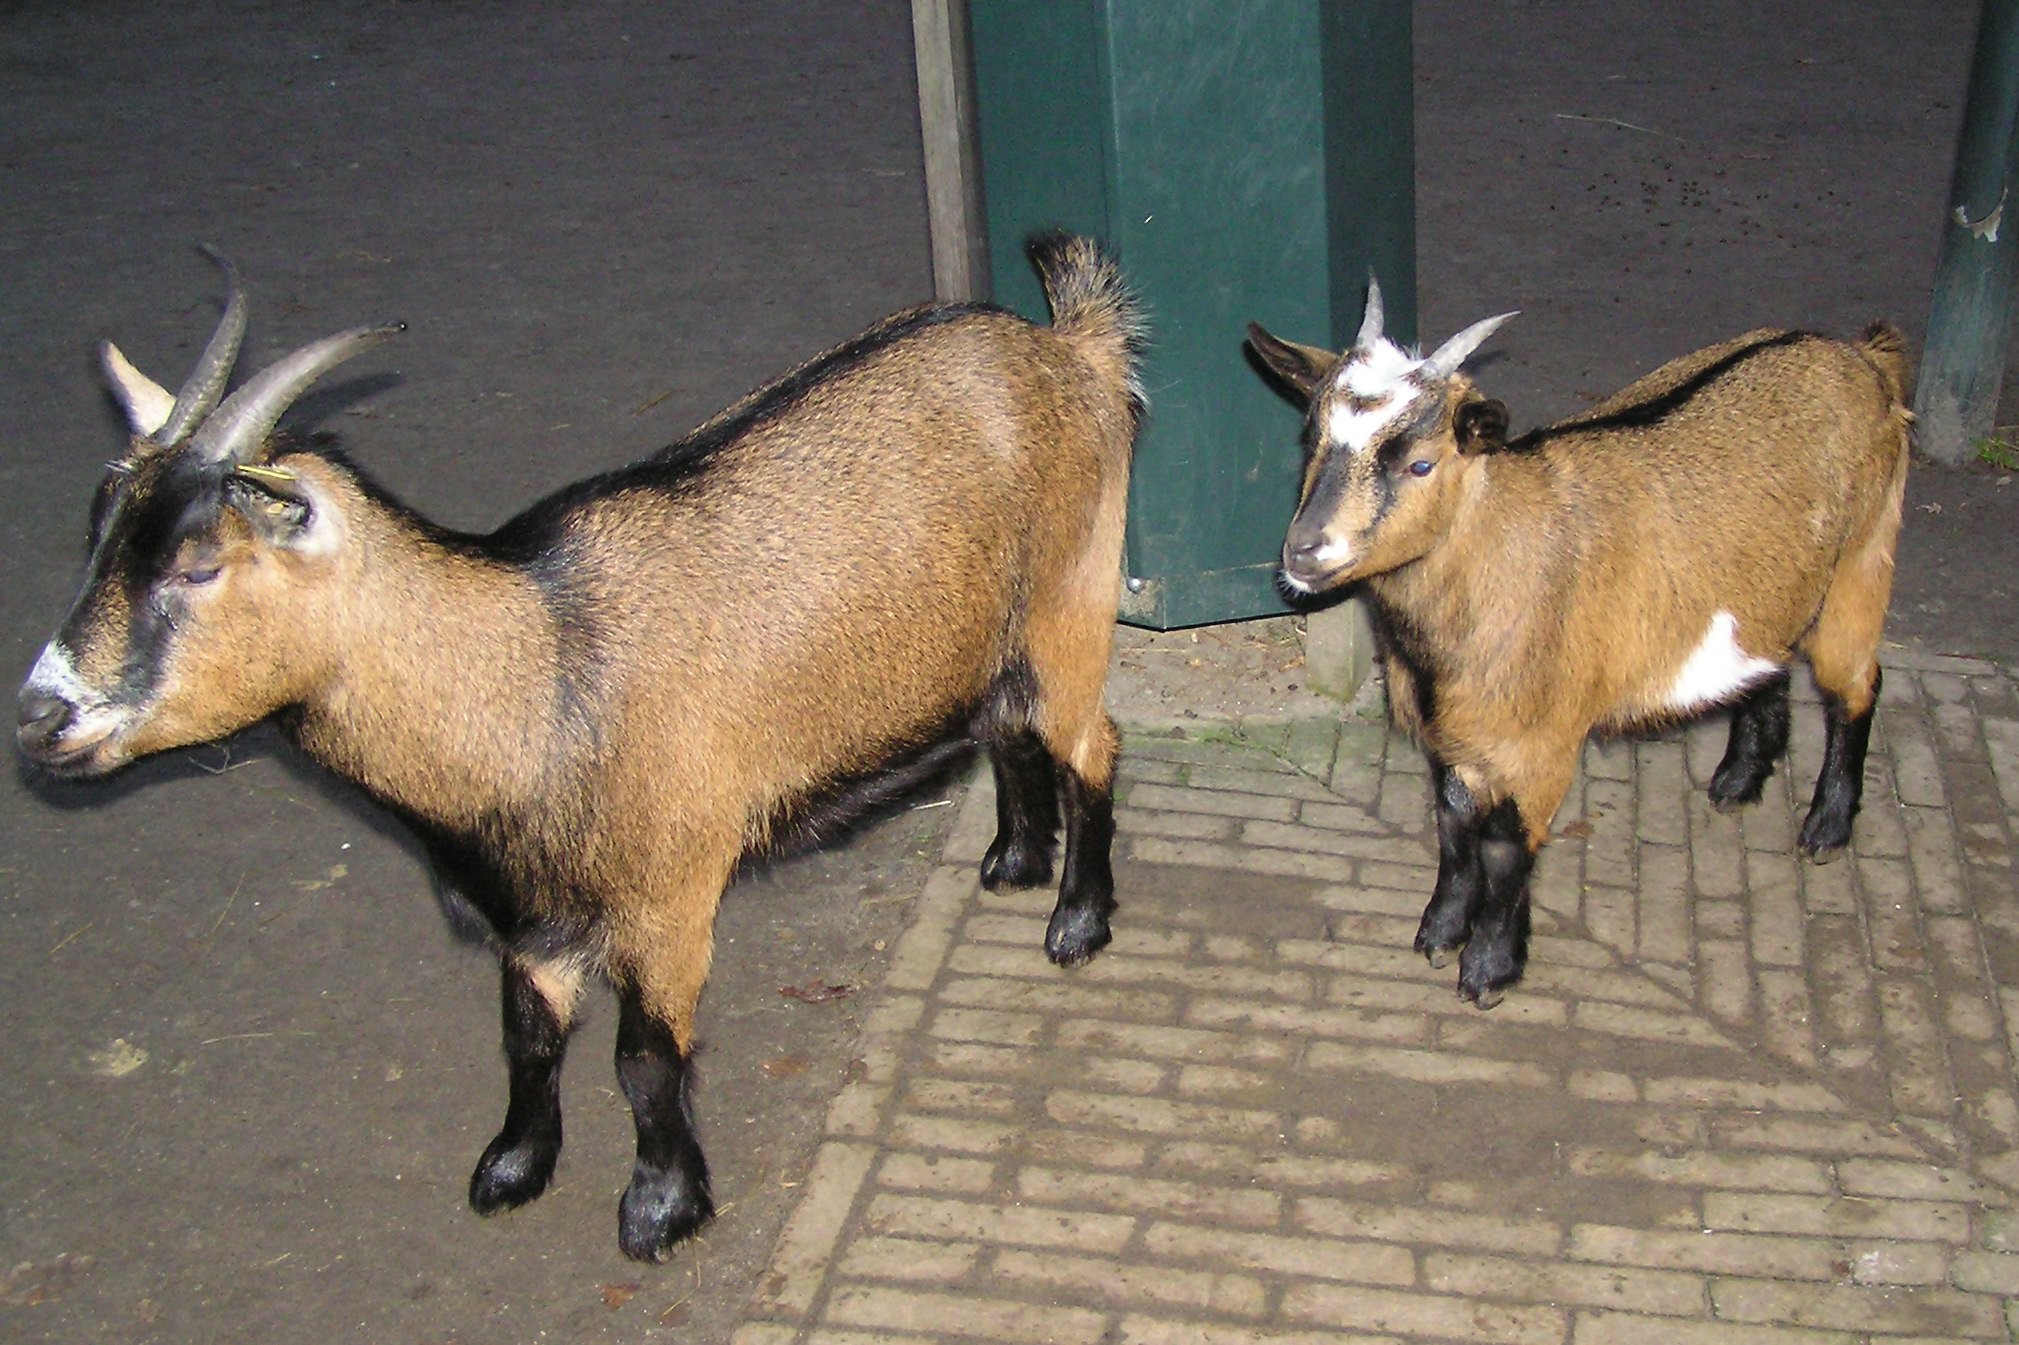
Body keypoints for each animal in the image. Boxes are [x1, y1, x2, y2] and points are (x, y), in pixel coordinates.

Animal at [16, 235, 1145, 1260]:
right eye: (97, 537)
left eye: (199, 564)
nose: (37, 718)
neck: (536, 672)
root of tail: (1066, 348)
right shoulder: (529, 911)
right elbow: (526, 1034)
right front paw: (513, 1165)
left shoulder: (667, 897)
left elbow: (644, 1058)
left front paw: (659, 1209)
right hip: (985, 631)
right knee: (1005, 721)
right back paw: (1013, 859)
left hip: (1072, 597)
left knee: (1090, 739)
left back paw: (1076, 919)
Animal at [1247, 283, 1911, 1008]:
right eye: (1311, 439)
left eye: (1421, 462)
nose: (1303, 550)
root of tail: (1860, 356)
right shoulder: (1455, 734)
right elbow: (1453, 825)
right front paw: (1440, 931)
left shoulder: (1538, 742)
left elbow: (1504, 846)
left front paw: (1490, 966)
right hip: (1771, 588)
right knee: (1768, 661)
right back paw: (1738, 779)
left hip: (1860, 562)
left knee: (1856, 687)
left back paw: (1826, 826)